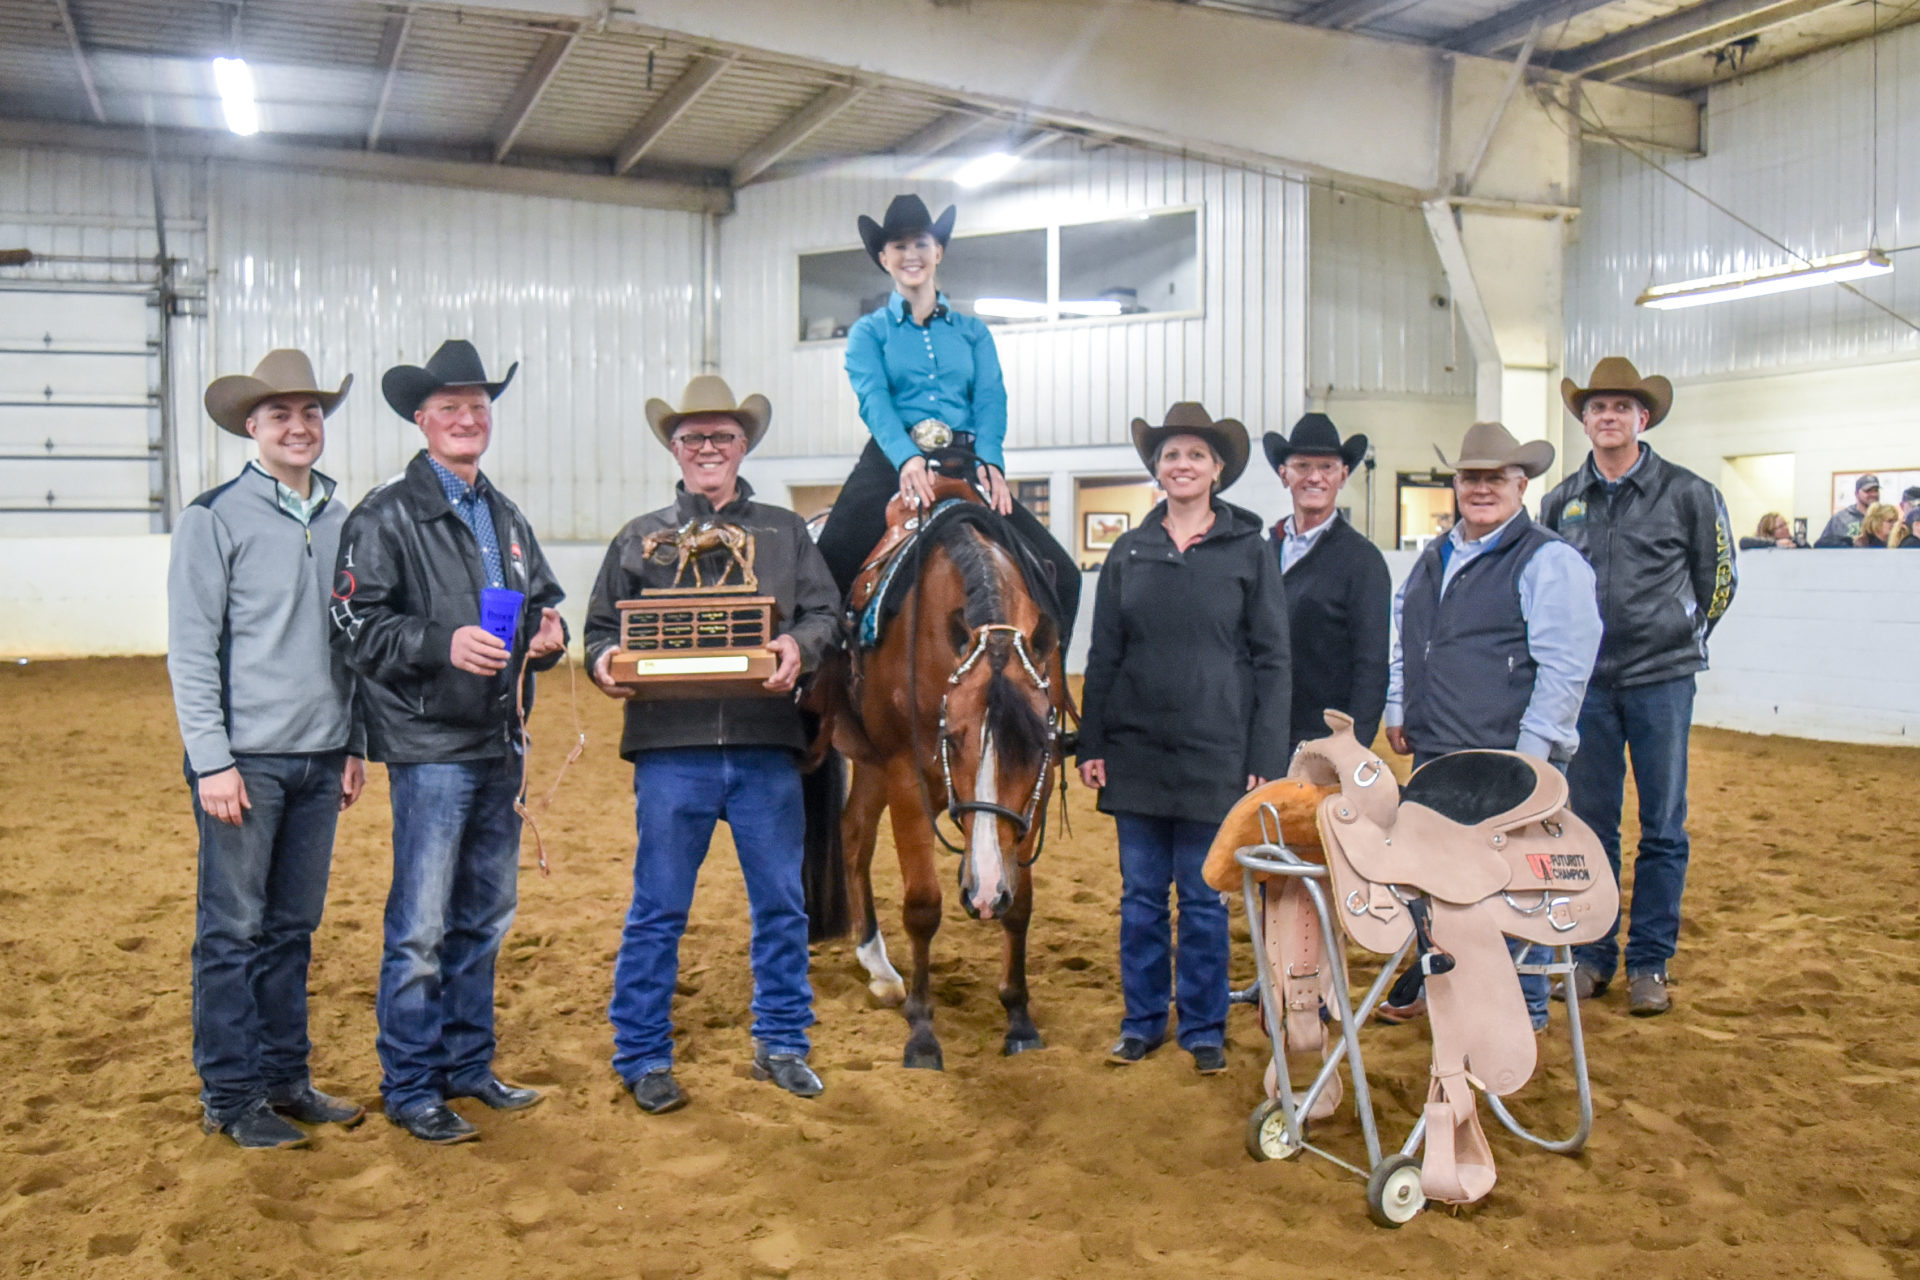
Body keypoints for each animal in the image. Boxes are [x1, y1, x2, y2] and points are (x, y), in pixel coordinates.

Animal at [802, 475, 1075, 1066]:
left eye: (1035, 747)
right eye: (952, 738)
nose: (984, 894)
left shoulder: (1035, 794)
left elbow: (1021, 904)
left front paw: (1019, 1017)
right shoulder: (908, 772)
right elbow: (923, 905)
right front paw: (923, 1032)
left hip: (871, 762)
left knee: (853, 833)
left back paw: (879, 967)